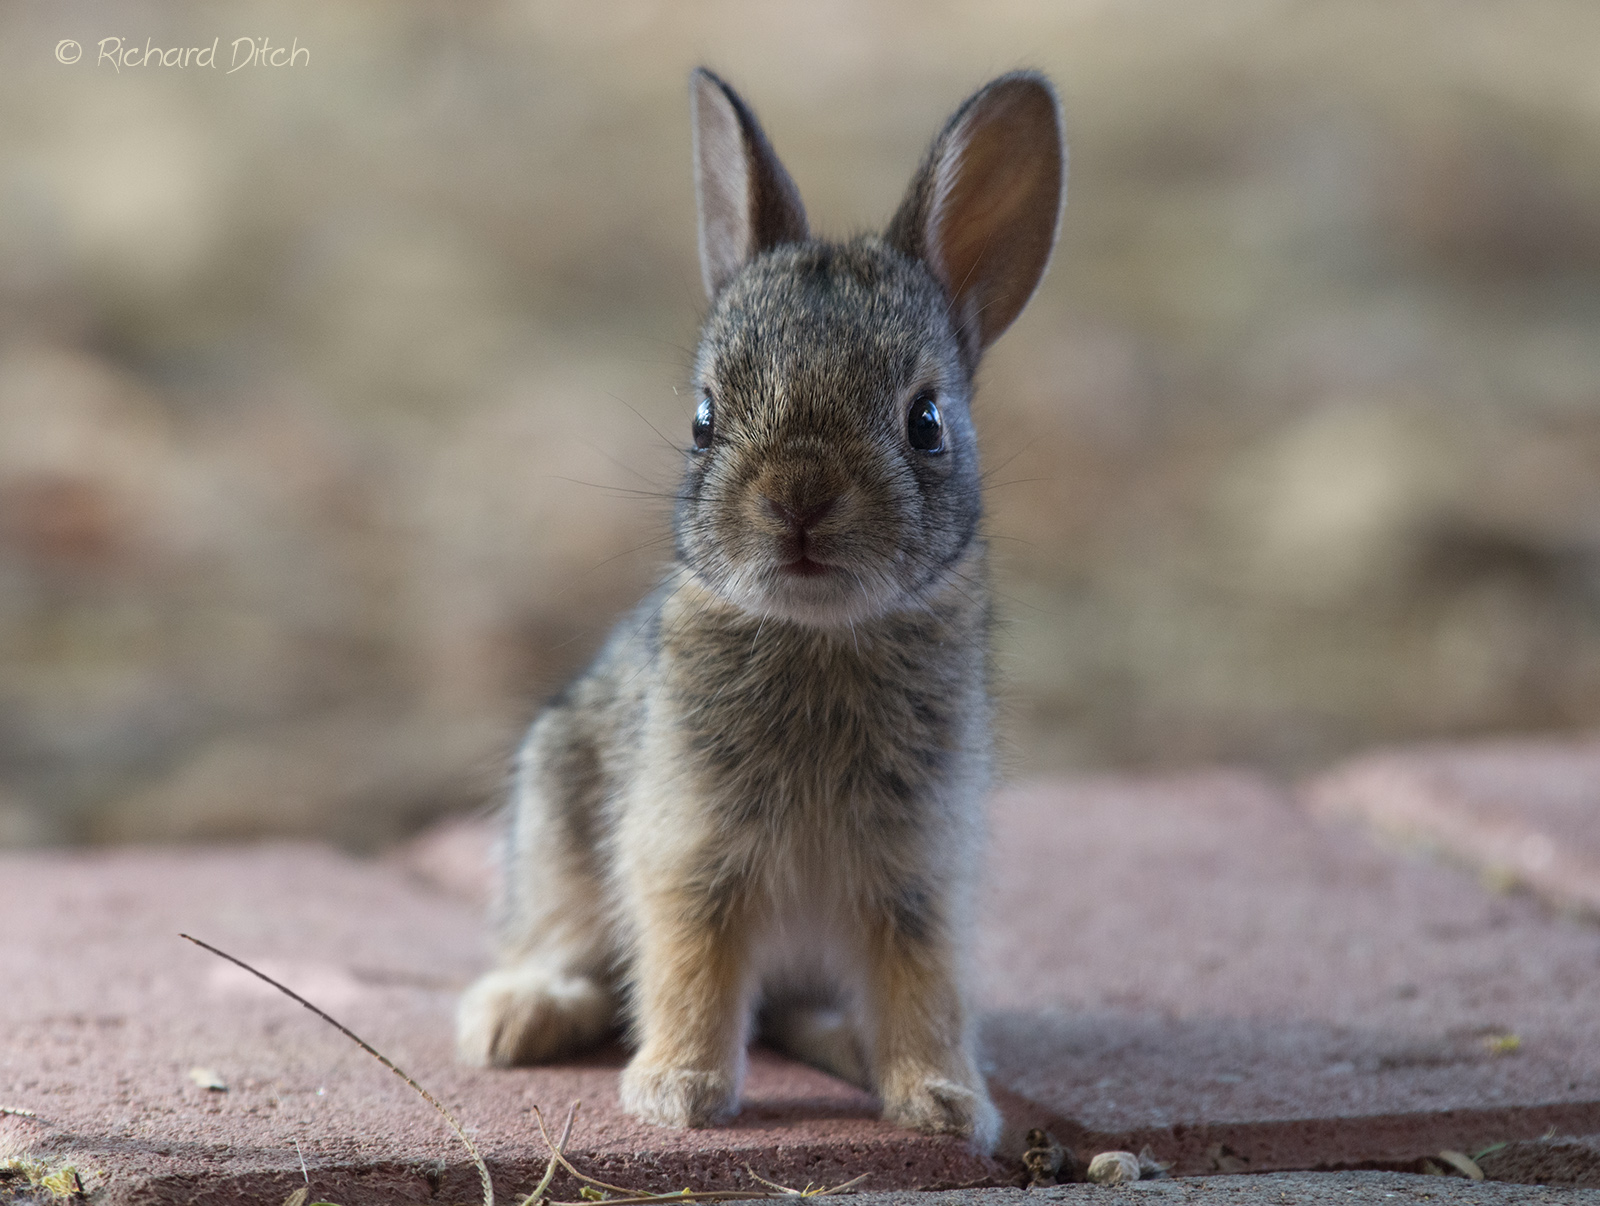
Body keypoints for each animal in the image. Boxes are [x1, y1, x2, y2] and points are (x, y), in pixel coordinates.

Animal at [456, 66, 1064, 1156]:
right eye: (704, 419)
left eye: (926, 422)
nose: (799, 497)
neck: (822, 636)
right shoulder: (690, 853)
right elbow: (691, 966)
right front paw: (678, 1093)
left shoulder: (918, 877)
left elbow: (924, 985)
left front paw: (944, 1103)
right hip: (557, 818)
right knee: (567, 946)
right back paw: (515, 1016)